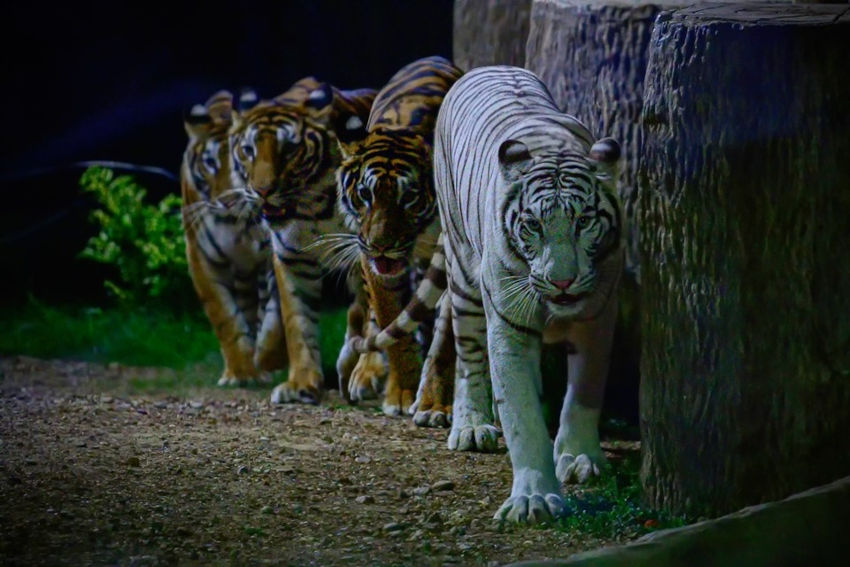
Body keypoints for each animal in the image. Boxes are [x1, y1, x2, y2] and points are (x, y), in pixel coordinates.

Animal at [180, 90, 286, 386]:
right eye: (210, 164)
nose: (227, 201)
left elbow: (275, 317)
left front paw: (269, 358)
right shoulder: (202, 258)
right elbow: (226, 318)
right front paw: (241, 372)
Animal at [229, 78, 377, 404]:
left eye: (289, 149)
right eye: (248, 150)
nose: (262, 191)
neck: (311, 210)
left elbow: (370, 313)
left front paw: (363, 373)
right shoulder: (292, 258)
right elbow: (298, 323)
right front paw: (300, 384)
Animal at [332, 55, 463, 417]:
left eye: (409, 197)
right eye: (365, 194)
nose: (381, 247)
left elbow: (445, 335)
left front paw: (435, 403)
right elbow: (392, 320)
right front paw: (402, 393)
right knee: (373, 319)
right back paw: (363, 373)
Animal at [348, 66, 623, 523]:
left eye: (584, 221)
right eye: (532, 225)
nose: (562, 282)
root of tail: (485, 67)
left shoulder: (597, 317)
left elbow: (583, 395)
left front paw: (581, 458)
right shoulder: (508, 323)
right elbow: (520, 412)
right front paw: (533, 497)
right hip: (462, 273)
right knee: (467, 350)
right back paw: (470, 424)